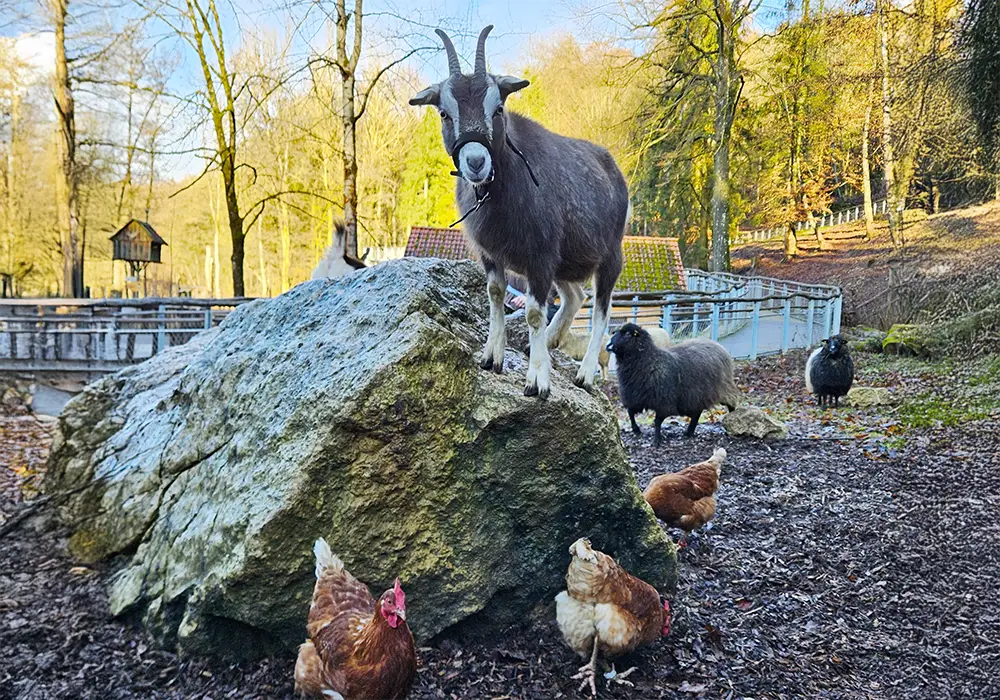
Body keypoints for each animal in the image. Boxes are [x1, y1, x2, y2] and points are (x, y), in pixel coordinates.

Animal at [410, 26, 630, 399]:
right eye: (444, 113)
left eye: (498, 108)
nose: (476, 162)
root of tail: (613, 167)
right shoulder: (491, 254)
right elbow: (495, 294)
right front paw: (491, 357)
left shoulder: (540, 255)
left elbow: (533, 314)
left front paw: (537, 380)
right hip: (565, 260)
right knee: (576, 295)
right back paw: (551, 341)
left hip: (609, 254)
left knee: (602, 308)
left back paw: (584, 374)